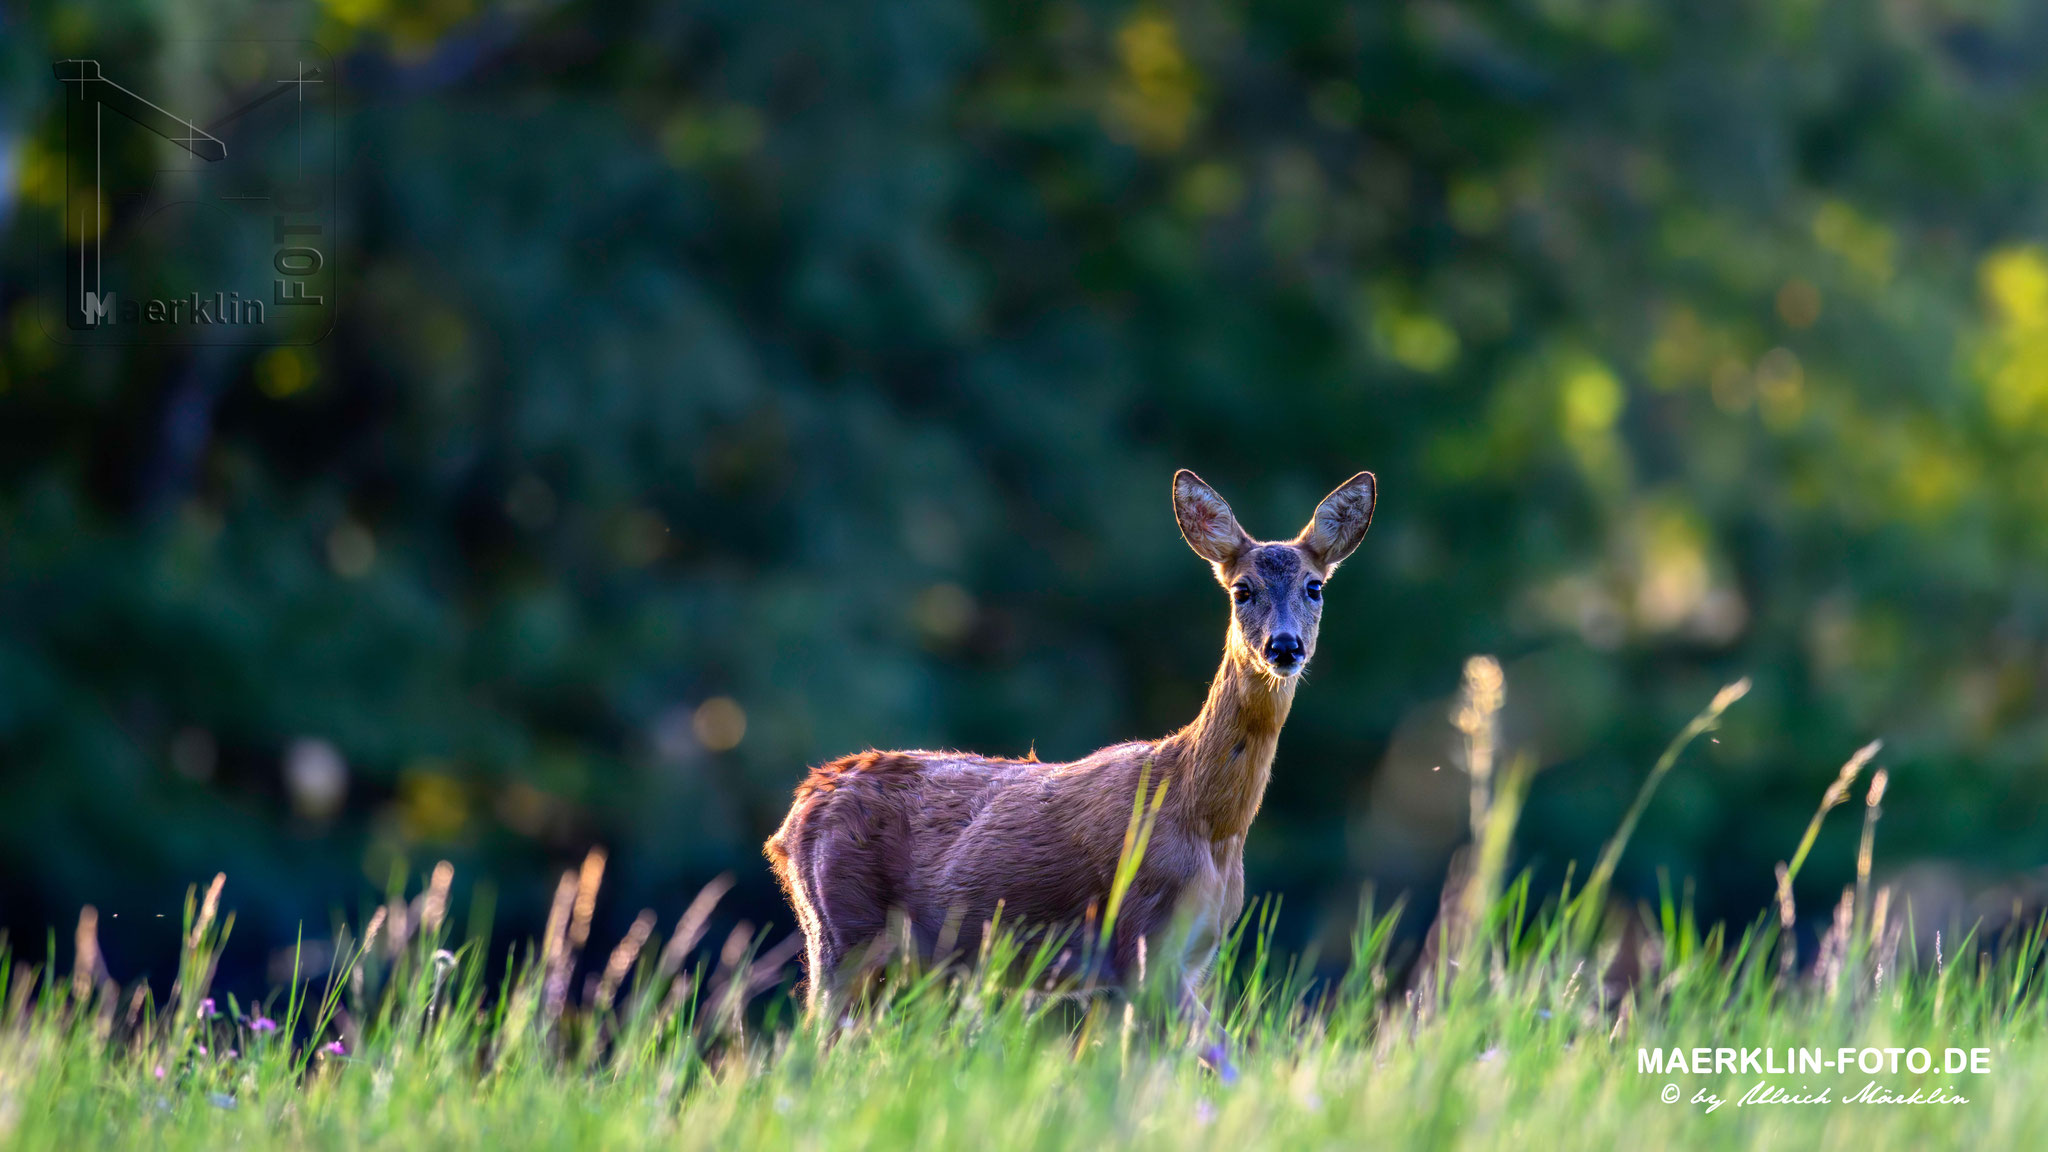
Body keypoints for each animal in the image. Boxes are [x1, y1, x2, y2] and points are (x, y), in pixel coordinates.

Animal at [765, 467, 1376, 1033]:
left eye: (1315, 586)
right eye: (1242, 589)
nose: (1284, 646)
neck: (1207, 819)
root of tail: (796, 811)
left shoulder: (1184, 959)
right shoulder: (1140, 942)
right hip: (842, 928)